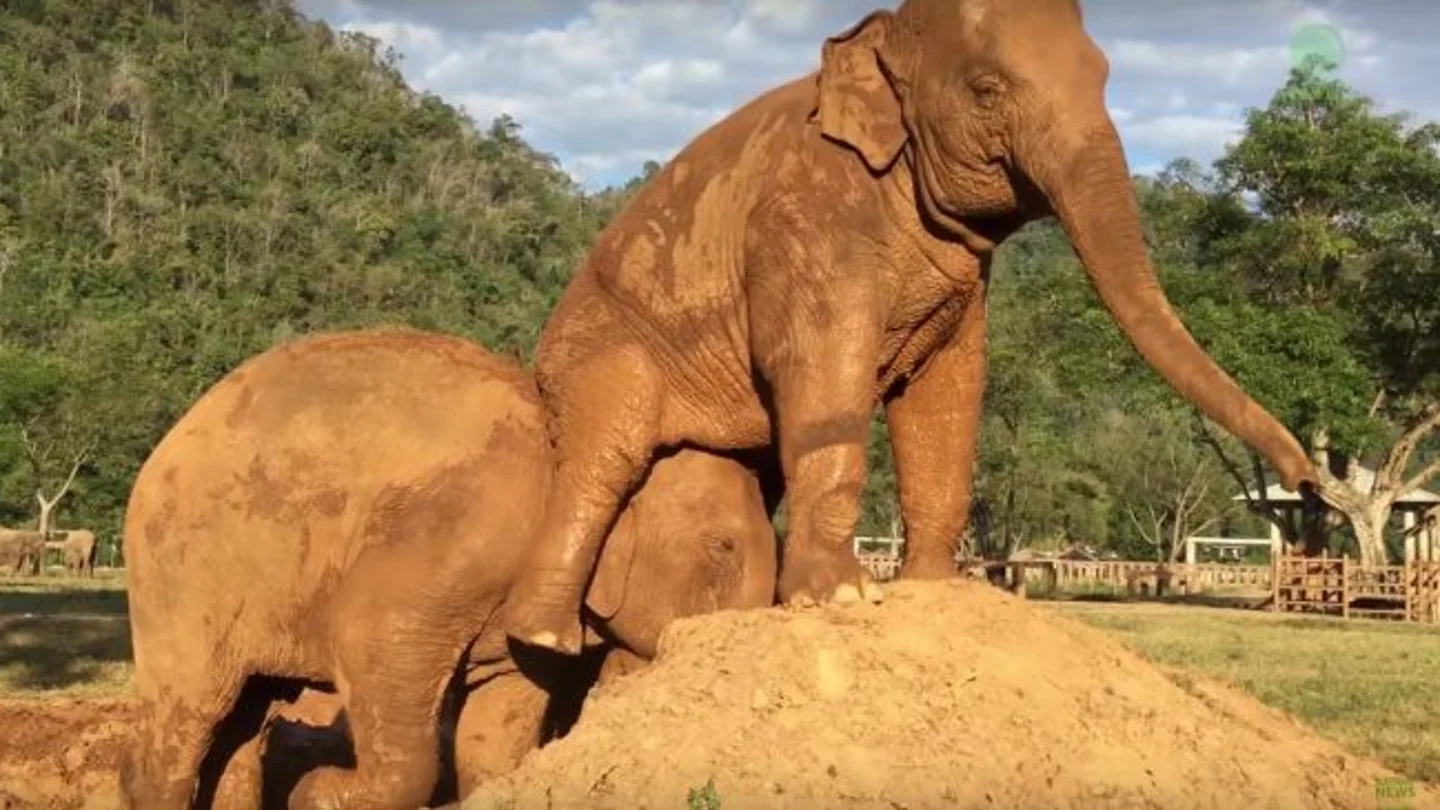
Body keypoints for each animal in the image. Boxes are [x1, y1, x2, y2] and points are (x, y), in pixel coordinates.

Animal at [119, 329, 778, 810]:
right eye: (723, 547)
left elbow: (502, 724)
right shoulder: (453, 533)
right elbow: (368, 644)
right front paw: (314, 792)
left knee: (242, 723)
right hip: (180, 575)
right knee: (194, 715)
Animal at [501, 0, 1321, 655]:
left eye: (1104, 74)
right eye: (988, 89)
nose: (1309, 485)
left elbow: (949, 386)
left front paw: (936, 587)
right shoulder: (807, 216)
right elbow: (824, 370)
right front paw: (842, 596)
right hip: (600, 353)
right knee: (609, 450)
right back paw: (544, 639)